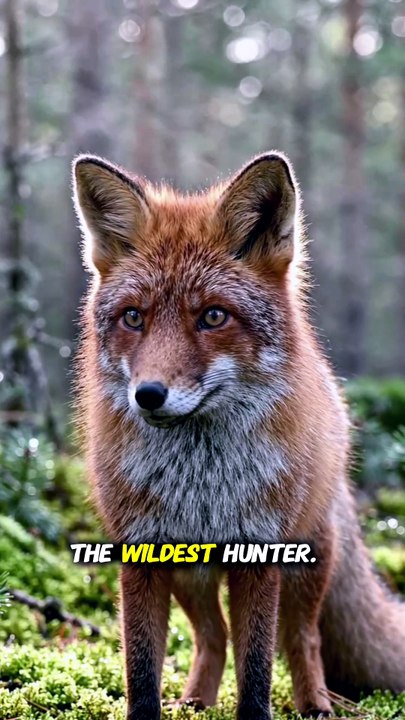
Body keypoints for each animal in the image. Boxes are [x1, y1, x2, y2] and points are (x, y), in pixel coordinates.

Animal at [72, 151, 405, 720]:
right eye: (133, 317)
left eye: (213, 316)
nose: (148, 395)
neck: (201, 483)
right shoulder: (142, 553)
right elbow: (142, 670)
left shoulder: (260, 556)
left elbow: (257, 669)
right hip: (193, 577)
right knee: (214, 637)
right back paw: (195, 702)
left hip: (308, 562)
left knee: (302, 639)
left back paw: (316, 704)